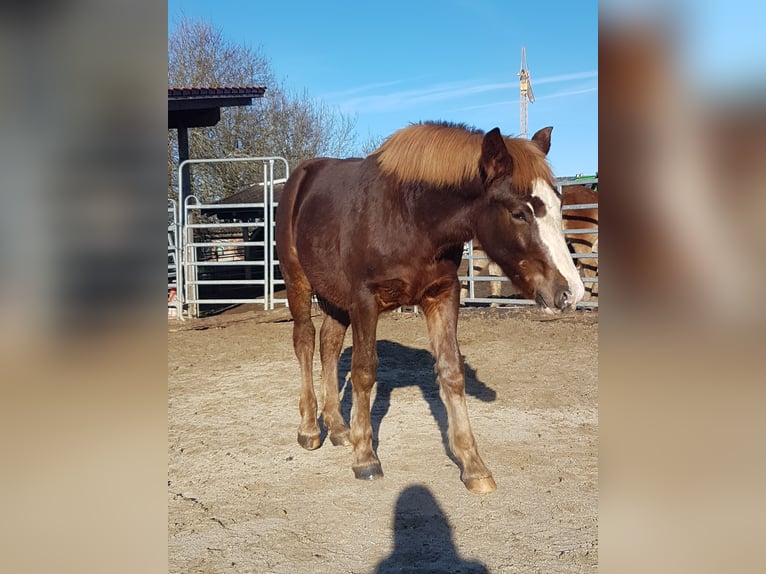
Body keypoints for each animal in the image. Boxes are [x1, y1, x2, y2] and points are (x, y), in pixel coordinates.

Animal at [280, 121, 584, 496]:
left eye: (559, 204)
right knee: (305, 341)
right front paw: (365, 457)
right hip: (298, 282)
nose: (571, 292)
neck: (411, 216)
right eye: (519, 212)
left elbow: (451, 371)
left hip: (334, 297)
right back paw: (310, 428)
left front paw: (473, 465)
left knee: (330, 344)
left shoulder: (442, 295)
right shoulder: (365, 300)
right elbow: (364, 371)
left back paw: (338, 427)